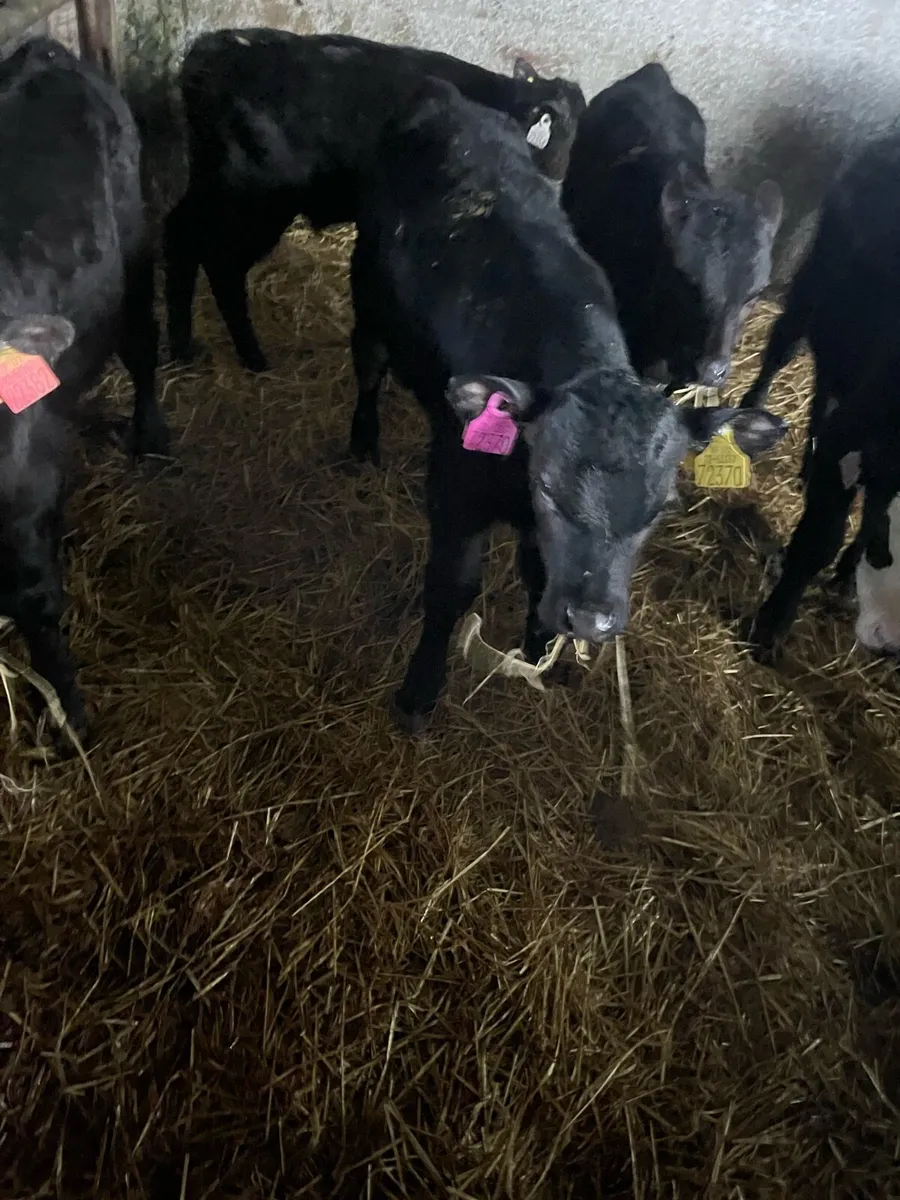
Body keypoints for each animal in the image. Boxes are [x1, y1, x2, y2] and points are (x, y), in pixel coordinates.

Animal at [163, 28, 585, 374]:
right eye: (557, 125)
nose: (561, 170)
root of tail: (209, 52)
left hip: (211, 187)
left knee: (180, 238)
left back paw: (183, 349)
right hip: (256, 201)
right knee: (220, 264)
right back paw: (252, 357)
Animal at [740, 131, 900, 660]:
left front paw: (848, 576)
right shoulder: (851, 442)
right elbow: (821, 537)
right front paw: (770, 626)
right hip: (813, 280)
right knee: (783, 347)